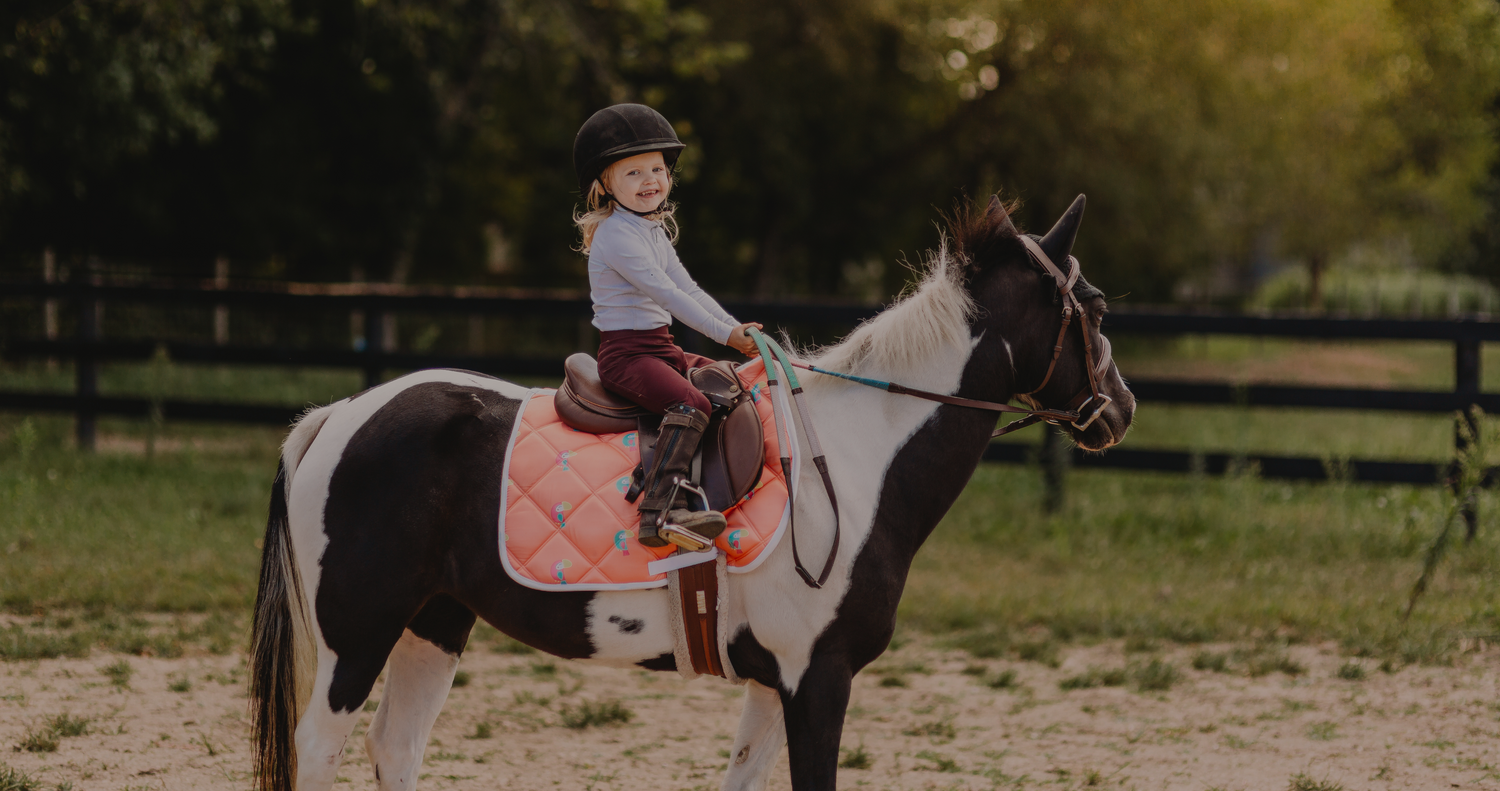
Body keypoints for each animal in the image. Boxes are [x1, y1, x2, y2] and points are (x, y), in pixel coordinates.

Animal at [252, 193, 1128, 791]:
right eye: (1093, 306)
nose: (1120, 409)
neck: (857, 459)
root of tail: (340, 414)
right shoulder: (819, 677)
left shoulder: (779, 681)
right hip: (358, 636)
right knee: (321, 748)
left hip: (434, 622)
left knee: (394, 748)